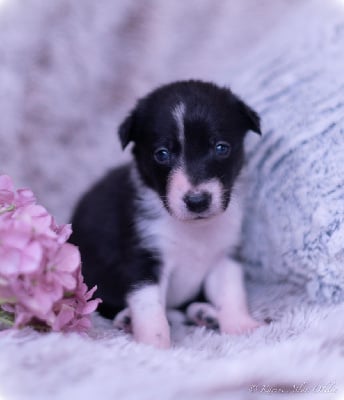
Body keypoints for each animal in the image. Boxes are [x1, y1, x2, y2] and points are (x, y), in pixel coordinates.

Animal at [70, 80, 264, 346]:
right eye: (162, 154)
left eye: (221, 148)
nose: (197, 201)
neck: (192, 230)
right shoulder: (143, 259)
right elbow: (150, 308)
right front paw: (153, 343)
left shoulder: (224, 255)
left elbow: (231, 292)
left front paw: (240, 325)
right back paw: (128, 319)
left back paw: (205, 313)